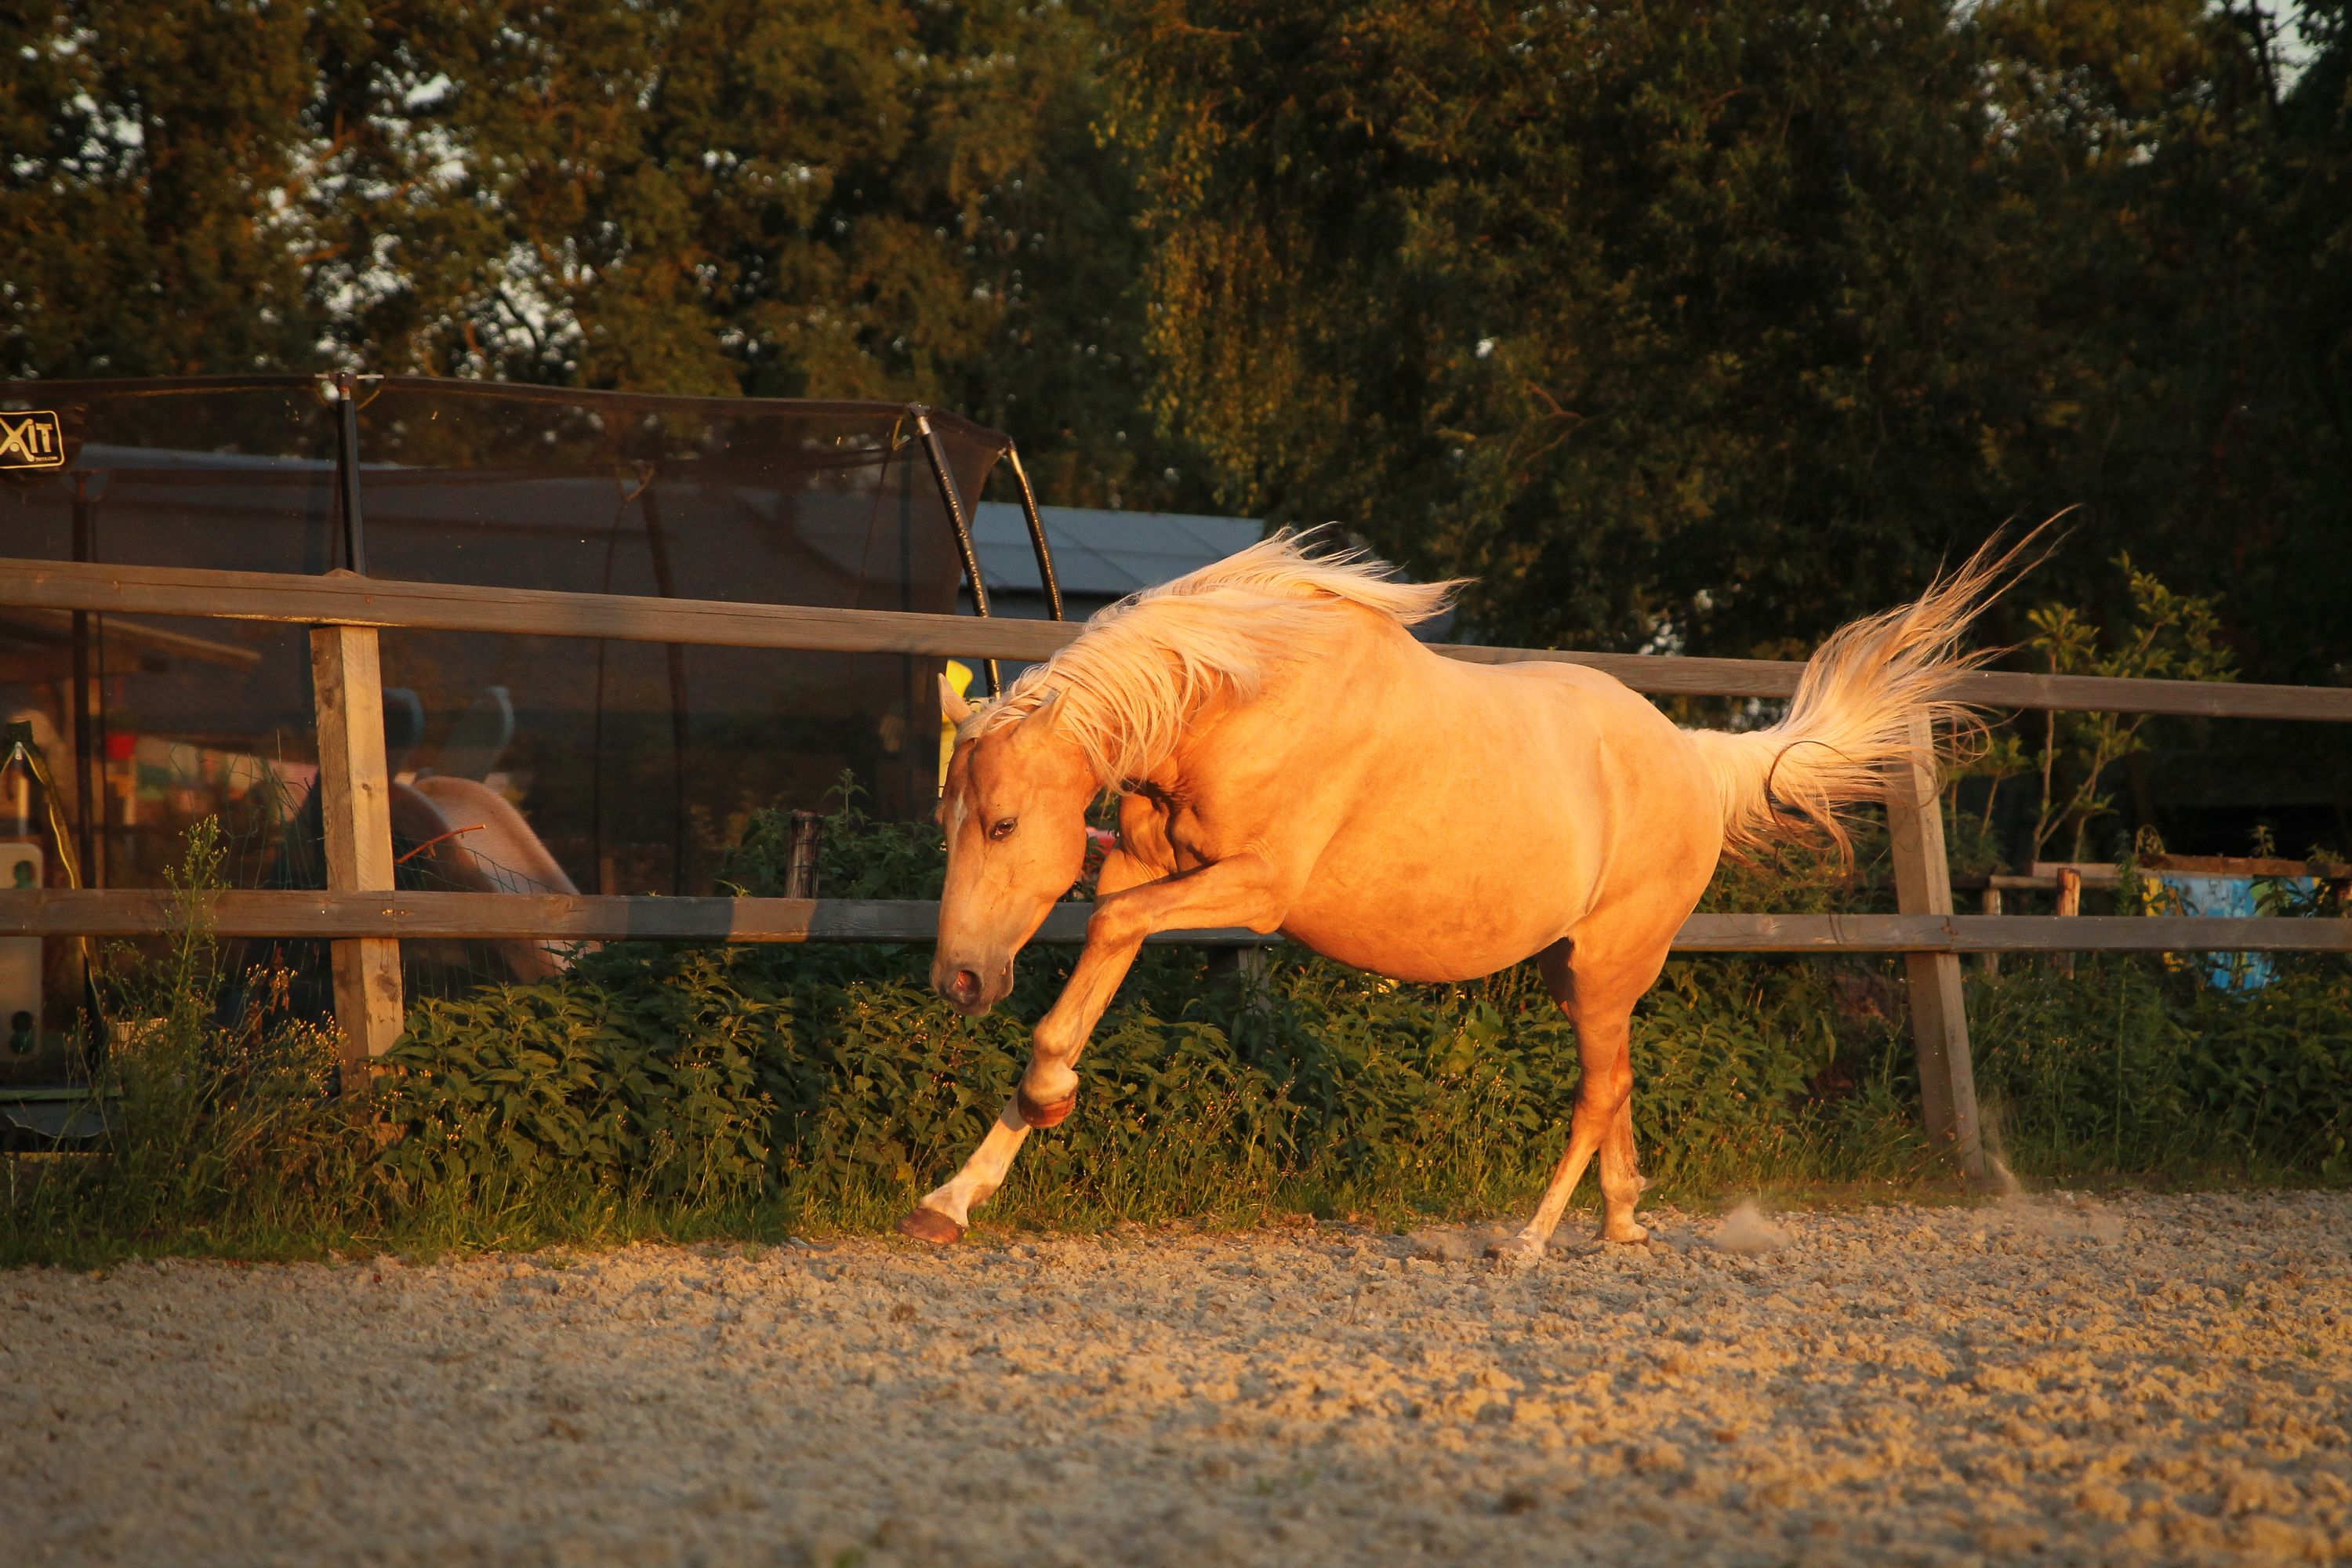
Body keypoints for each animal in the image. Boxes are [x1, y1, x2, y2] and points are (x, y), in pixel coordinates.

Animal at [899, 531, 2016, 1260]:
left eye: (1003, 825)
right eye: (949, 818)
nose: (960, 980)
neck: (1243, 694)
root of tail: (1698, 757)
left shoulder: (1251, 890)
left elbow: (1102, 936)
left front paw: (1043, 1106)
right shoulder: (1147, 867)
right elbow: (1084, 985)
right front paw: (951, 1198)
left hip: (1609, 962)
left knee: (1596, 1090)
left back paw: (1528, 1241)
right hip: (1579, 973)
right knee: (1616, 1081)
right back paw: (1621, 1222)